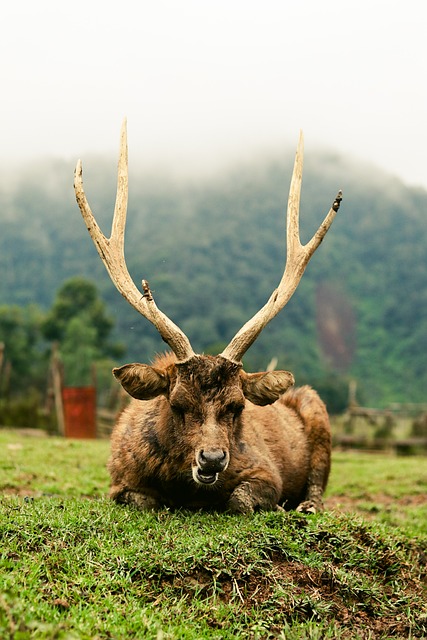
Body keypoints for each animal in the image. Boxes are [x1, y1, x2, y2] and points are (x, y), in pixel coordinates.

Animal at [72, 121, 342, 516]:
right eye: (177, 403)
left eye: (237, 406)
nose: (212, 459)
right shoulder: (118, 480)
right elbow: (144, 501)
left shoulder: (266, 471)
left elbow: (240, 500)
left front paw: (273, 506)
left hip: (317, 408)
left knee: (318, 483)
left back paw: (306, 507)